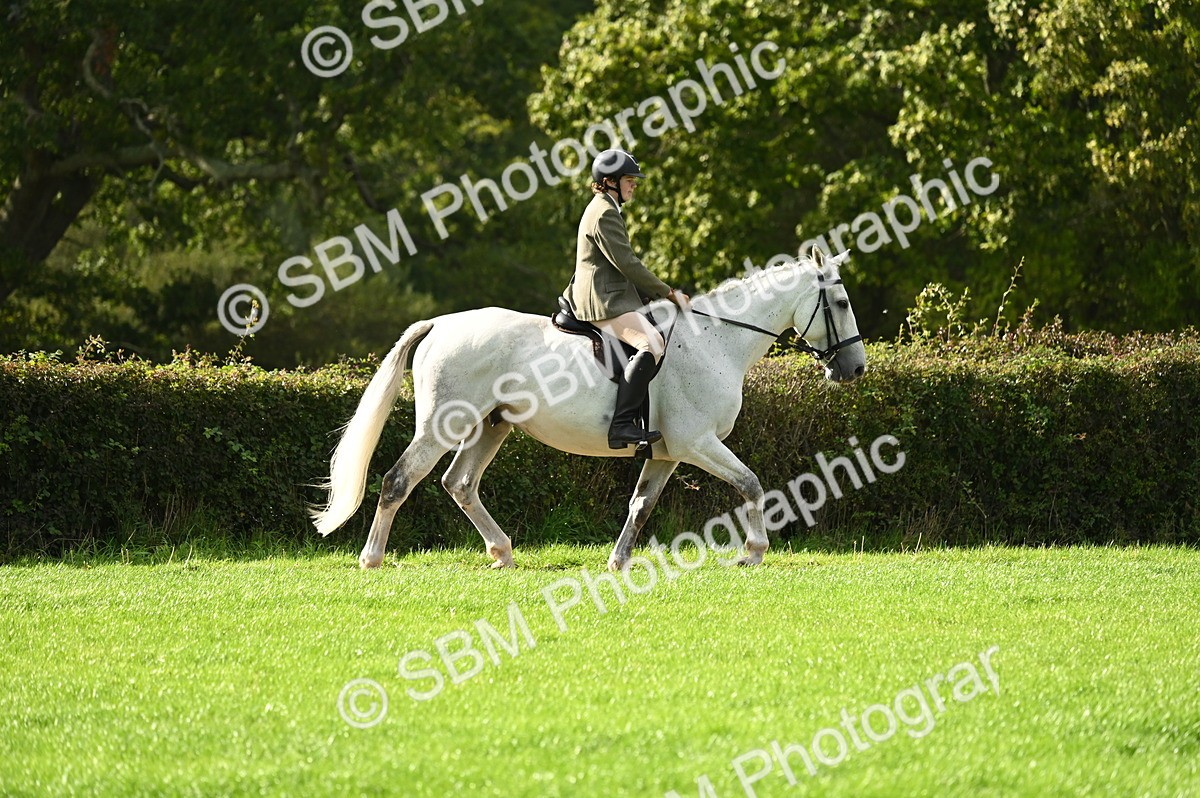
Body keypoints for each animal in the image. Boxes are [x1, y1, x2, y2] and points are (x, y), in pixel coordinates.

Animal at [312, 249, 867, 570]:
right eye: (840, 303)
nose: (854, 369)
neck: (715, 340)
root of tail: (441, 323)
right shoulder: (698, 443)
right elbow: (751, 483)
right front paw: (754, 551)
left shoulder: (667, 453)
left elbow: (641, 506)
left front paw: (618, 562)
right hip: (440, 426)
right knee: (399, 480)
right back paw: (372, 559)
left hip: (491, 426)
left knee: (460, 484)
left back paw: (502, 553)